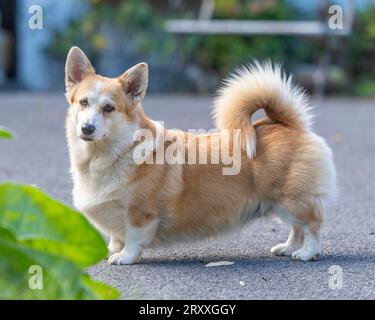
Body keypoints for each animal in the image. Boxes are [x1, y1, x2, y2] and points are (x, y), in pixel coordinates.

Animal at [64, 45, 338, 264]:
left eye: (109, 108)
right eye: (83, 102)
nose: (87, 128)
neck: (109, 154)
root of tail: (287, 125)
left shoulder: (140, 214)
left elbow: (131, 239)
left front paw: (124, 257)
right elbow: (116, 237)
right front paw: (111, 251)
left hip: (291, 200)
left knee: (312, 225)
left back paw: (306, 253)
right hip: (281, 204)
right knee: (296, 229)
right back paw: (287, 248)